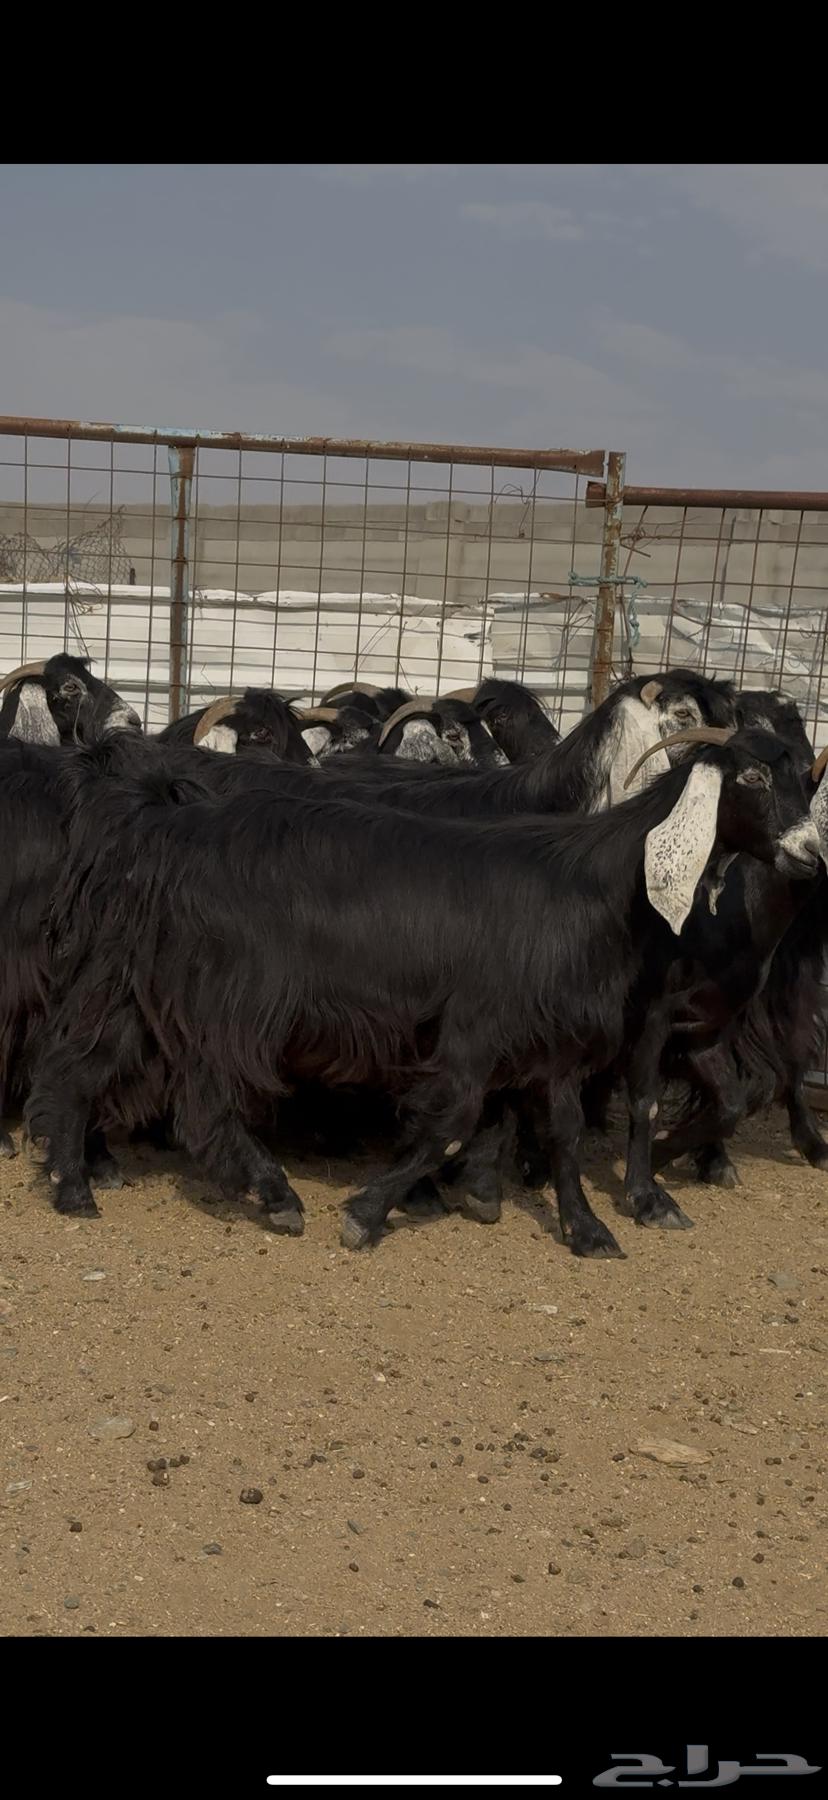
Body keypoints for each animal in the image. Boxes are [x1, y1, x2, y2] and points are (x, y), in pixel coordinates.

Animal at [23, 725, 817, 1262]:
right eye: (750, 778)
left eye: (806, 780)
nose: (812, 855)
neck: (598, 884)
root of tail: (162, 825)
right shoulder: (475, 1028)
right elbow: (452, 1125)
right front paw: (368, 1213)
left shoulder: (555, 1045)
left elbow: (561, 1133)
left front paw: (588, 1229)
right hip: (228, 997)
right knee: (204, 1101)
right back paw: (274, 1195)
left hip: (141, 993)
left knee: (79, 1071)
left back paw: (71, 1185)